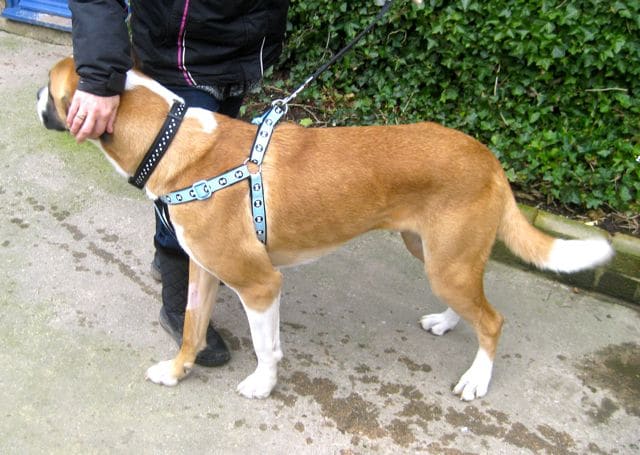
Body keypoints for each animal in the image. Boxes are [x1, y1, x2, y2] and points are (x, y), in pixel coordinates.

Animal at [38, 57, 613, 401]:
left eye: (49, 88)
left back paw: (476, 379)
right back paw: (448, 323)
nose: (33, 100)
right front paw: (178, 371)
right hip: (435, 253)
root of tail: (488, 156)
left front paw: (262, 385)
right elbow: (191, 331)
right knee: (473, 302)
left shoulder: (260, 285)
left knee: (493, 321)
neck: (175, 141)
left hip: (447, 262)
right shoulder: (204, 272)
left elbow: (267, 347)